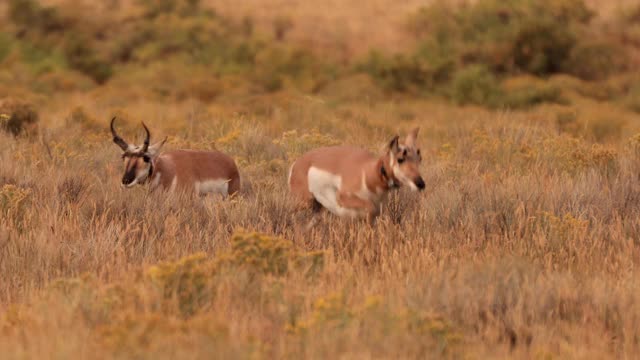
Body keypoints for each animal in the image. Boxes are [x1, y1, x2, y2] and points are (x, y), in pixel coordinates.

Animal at [288, 126, 422, 222]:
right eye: (400, 159)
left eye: (419, 158)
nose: (420, 183)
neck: (369, 171)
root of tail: (296, 163)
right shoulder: (344, 199)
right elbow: (370, 208)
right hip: (305, 202)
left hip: (318, 210)